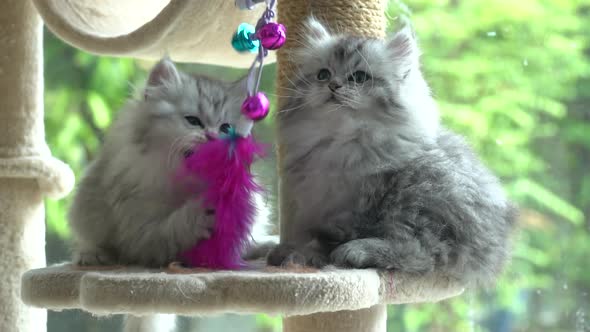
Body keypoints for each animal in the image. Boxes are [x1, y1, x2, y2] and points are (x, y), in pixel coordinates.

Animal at [69, 58, 247, 268]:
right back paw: (92, 255)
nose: (212, 136)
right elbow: (172, 230)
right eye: (193, 121)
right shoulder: (137, 232)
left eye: (226, 128)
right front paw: (202, 213)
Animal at [270, 18, 520, 286]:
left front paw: (302, 254)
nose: (333, 85)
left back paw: (356, 251)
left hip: (420, 195)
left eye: (359, 77)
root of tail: (497, 247)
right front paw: (288, 251)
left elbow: (323, 240)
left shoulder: (357, 207)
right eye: (323, 74)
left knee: (422, 252)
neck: (341, 141)